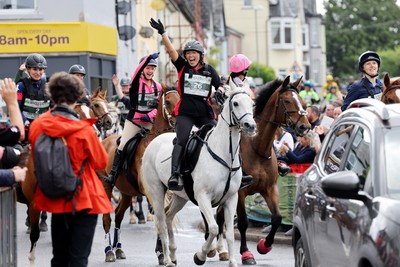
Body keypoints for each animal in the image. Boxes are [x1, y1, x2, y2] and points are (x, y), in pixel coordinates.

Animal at [97, 86, 180, 264]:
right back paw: (109, 251)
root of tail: (105, 140)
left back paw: (118, 248)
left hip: (127, 192)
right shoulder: (151, 191)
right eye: (169, 102)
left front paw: (161, 252)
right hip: (106, 186)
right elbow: (159, 217)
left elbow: (162, 216)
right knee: (107, 219)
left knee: (118, 216)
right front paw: (162, 253)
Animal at [142, 81, 258, 267]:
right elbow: (214, 228)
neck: (224, 152)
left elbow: (229, 234)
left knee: (168, 217)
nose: (250, 126)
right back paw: (166, 259)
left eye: (252, 104)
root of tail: (154, 142)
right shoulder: (203, 197)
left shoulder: (231, 198)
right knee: (160, 222)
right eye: (235, 103)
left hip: (180, 197)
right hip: (157, 192)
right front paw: (200, 255)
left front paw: (232, 261)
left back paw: (173, 255)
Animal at [211, 76, 310, 266]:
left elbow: (277, 218)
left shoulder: (270, 189)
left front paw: (265, 245)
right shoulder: (240, 192)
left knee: (219, 217)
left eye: (303, 102)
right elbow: (243, 222)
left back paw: (221, 250)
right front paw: (246, 253)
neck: (257, 148)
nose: (304, 127)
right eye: (287, 101)